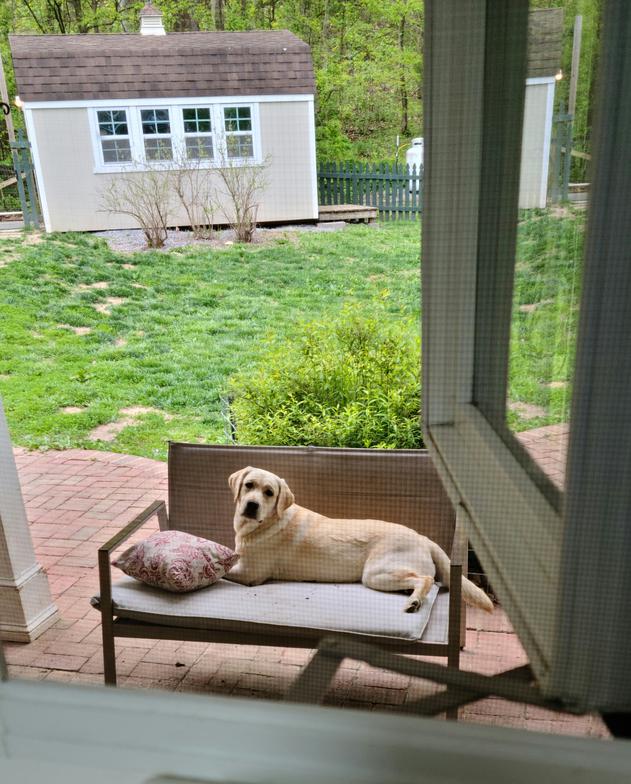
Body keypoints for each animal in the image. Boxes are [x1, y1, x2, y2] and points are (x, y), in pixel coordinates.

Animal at [226, 466, 494, 612]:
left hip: (376, 573)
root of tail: (423, 538)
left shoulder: (249, 573)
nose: (252, 505)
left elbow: (227, 573)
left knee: (427, 579)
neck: (265, 523)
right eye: (248, 485)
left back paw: (414, 602)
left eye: (269, 493)